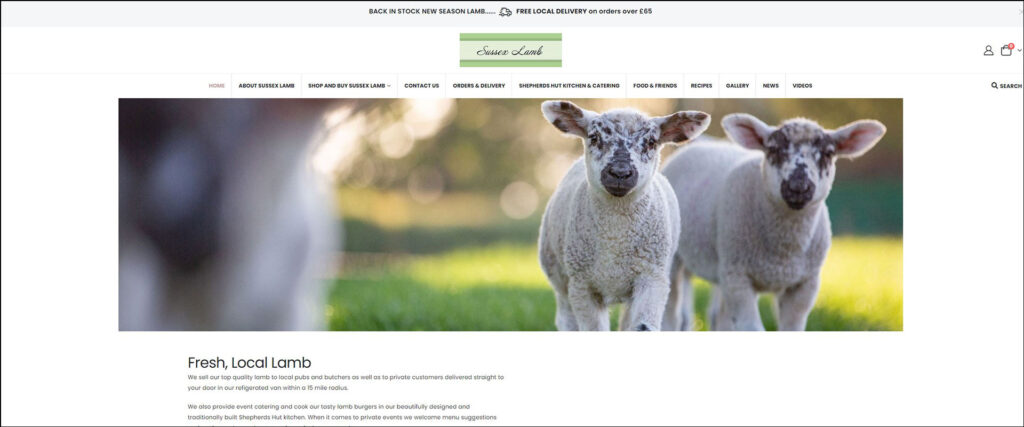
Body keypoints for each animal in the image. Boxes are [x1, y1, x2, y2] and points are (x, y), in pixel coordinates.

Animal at [537, 101, 711, 331]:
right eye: (594, 137)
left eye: (651, 142)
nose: (620, 173)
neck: (616, 237)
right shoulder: (583, 286)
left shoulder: (652, 278)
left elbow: (643, 327)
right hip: (561, 280)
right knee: (566, 320)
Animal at [660, 113, 886, 331]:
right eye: (774, 149)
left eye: (828, 153)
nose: (798, 186)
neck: (783, 251)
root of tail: (703, 142)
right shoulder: (738, 277)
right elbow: (752, 329)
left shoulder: (804, 284)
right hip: (678, 259)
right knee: (673, 316)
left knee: (719, 318)